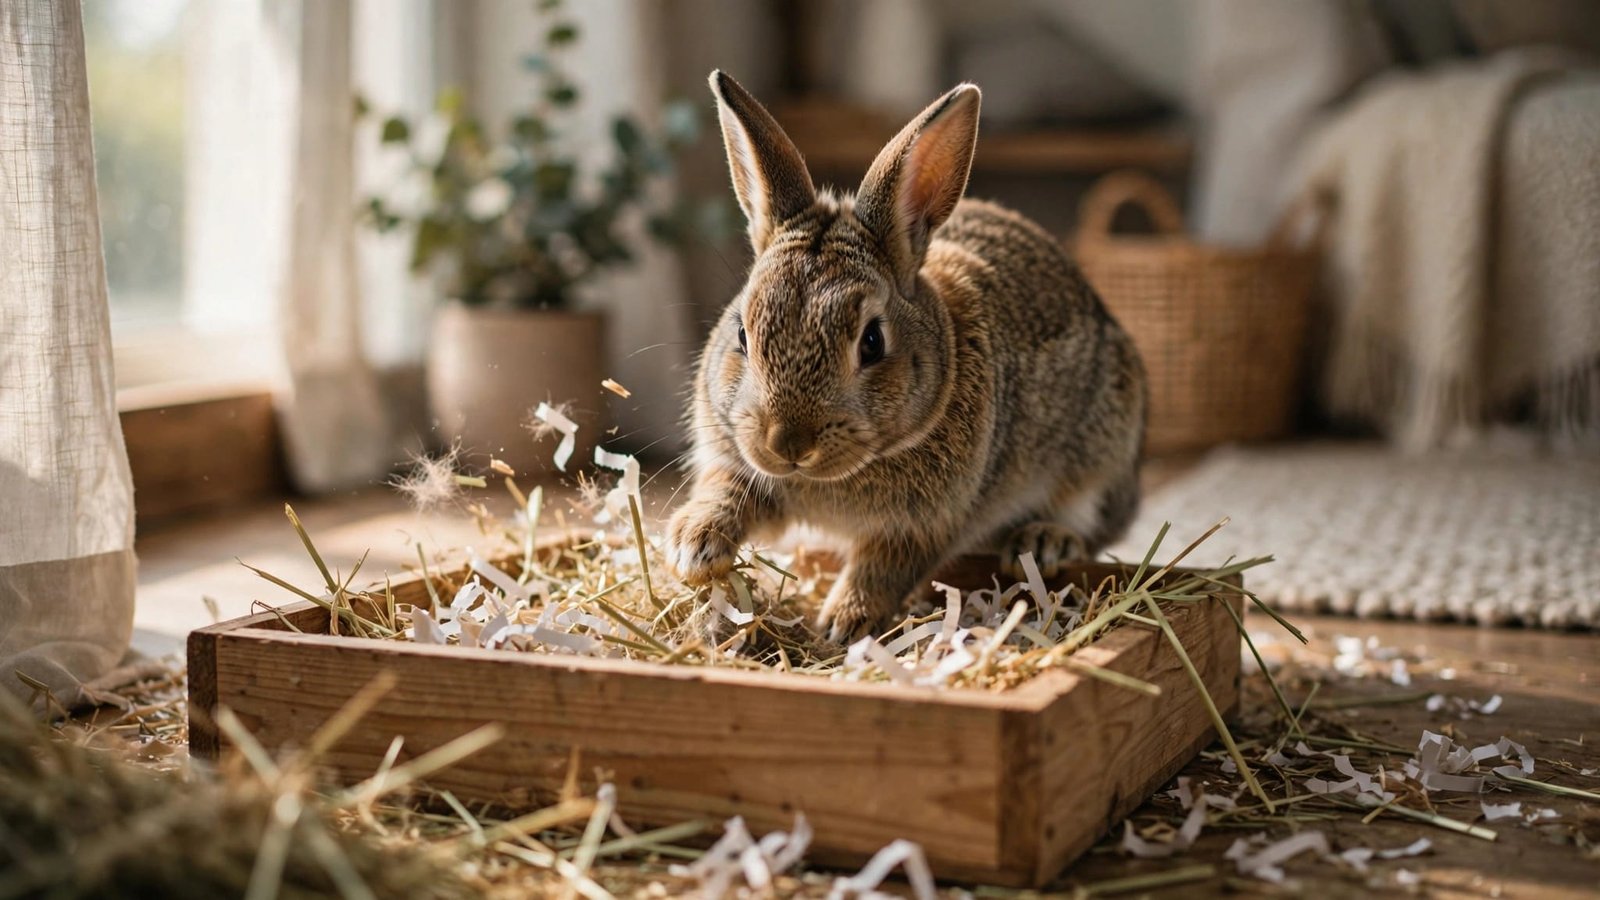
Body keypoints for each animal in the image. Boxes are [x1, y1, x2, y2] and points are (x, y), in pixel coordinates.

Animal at [667, 70, 1147, 642]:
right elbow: (725, 491)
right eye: (742, 333)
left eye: (872, 341)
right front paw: (692, 548)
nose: (788, 444)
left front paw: (842, 625)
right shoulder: (738, 460)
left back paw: (1044, 541)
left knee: (1092, 522)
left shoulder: (921, 526)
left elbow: (882, 568)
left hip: (1102, 453)